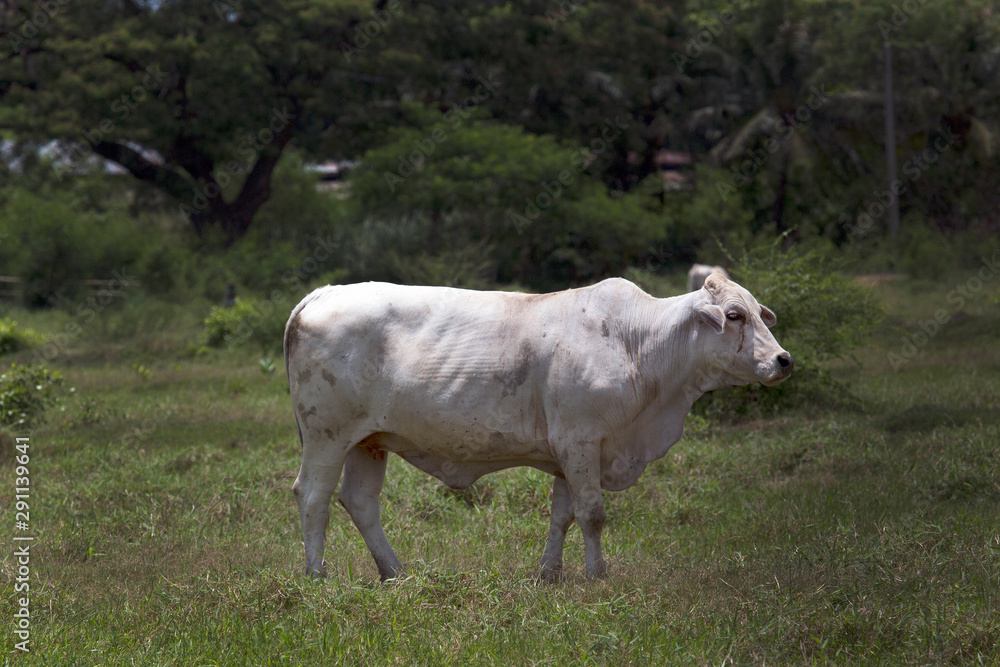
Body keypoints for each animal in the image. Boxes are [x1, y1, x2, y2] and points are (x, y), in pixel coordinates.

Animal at [284, 273, 793, 582]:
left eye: (758, 312)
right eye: (734, 315)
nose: (783, 360)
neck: (637, 343)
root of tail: (324, 292)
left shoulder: (570, 451)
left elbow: (563, 515)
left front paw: (551, 574)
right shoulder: (581, 441)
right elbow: (592, 513)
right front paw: (598, 575)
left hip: (368, 441)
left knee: (360, 502)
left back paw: (395, 572)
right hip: (327, 437)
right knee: (313, 497)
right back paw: (318, 576)